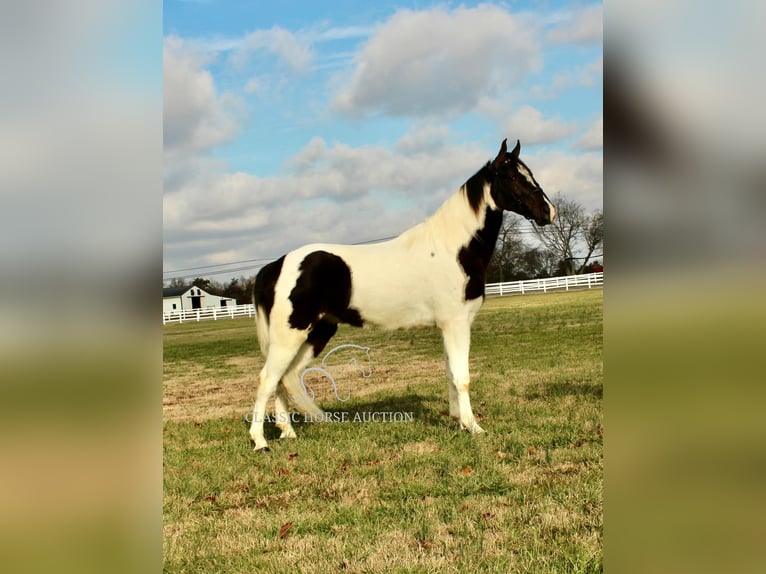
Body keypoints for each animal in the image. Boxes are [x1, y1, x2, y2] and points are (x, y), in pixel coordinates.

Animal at [249, 137, 556, 452]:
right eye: (511, 176)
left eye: (529, 173)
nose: (548, 212)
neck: (452, 249)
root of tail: (276, 266)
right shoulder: (457, 324)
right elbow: (462, 377)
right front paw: (474, 427)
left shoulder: (447, 327)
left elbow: (450, 373)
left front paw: (458, 421)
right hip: (290, 335)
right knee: (268, 378)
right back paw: (260, 441)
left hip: (316, 333)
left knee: (286, 378)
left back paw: (288, 431)